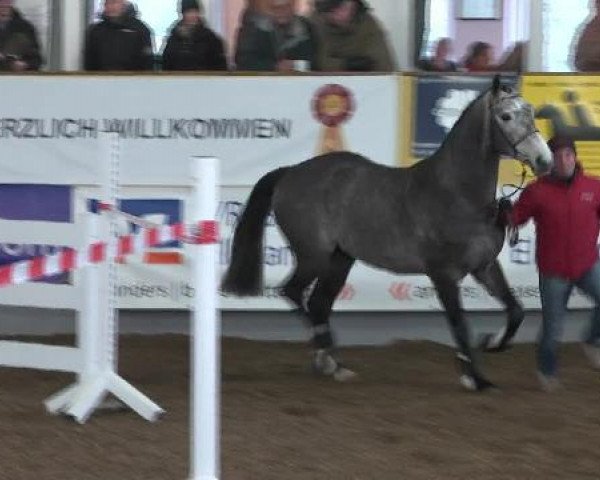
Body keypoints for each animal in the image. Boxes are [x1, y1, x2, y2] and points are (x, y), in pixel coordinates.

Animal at [221, 75, 552, 390]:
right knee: (293, 293)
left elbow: (516, 310)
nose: (544, 161)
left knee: (318, 303)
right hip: (313, 255)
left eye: (530, 111)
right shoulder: (443, 274)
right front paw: (474, 378)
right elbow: (459, 324)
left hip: (340, 259)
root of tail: (291, 172)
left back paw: (332, 364)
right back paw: (328, 358)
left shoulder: (484, 266)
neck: (458, 194)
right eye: (506, 116)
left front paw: (491, 343)